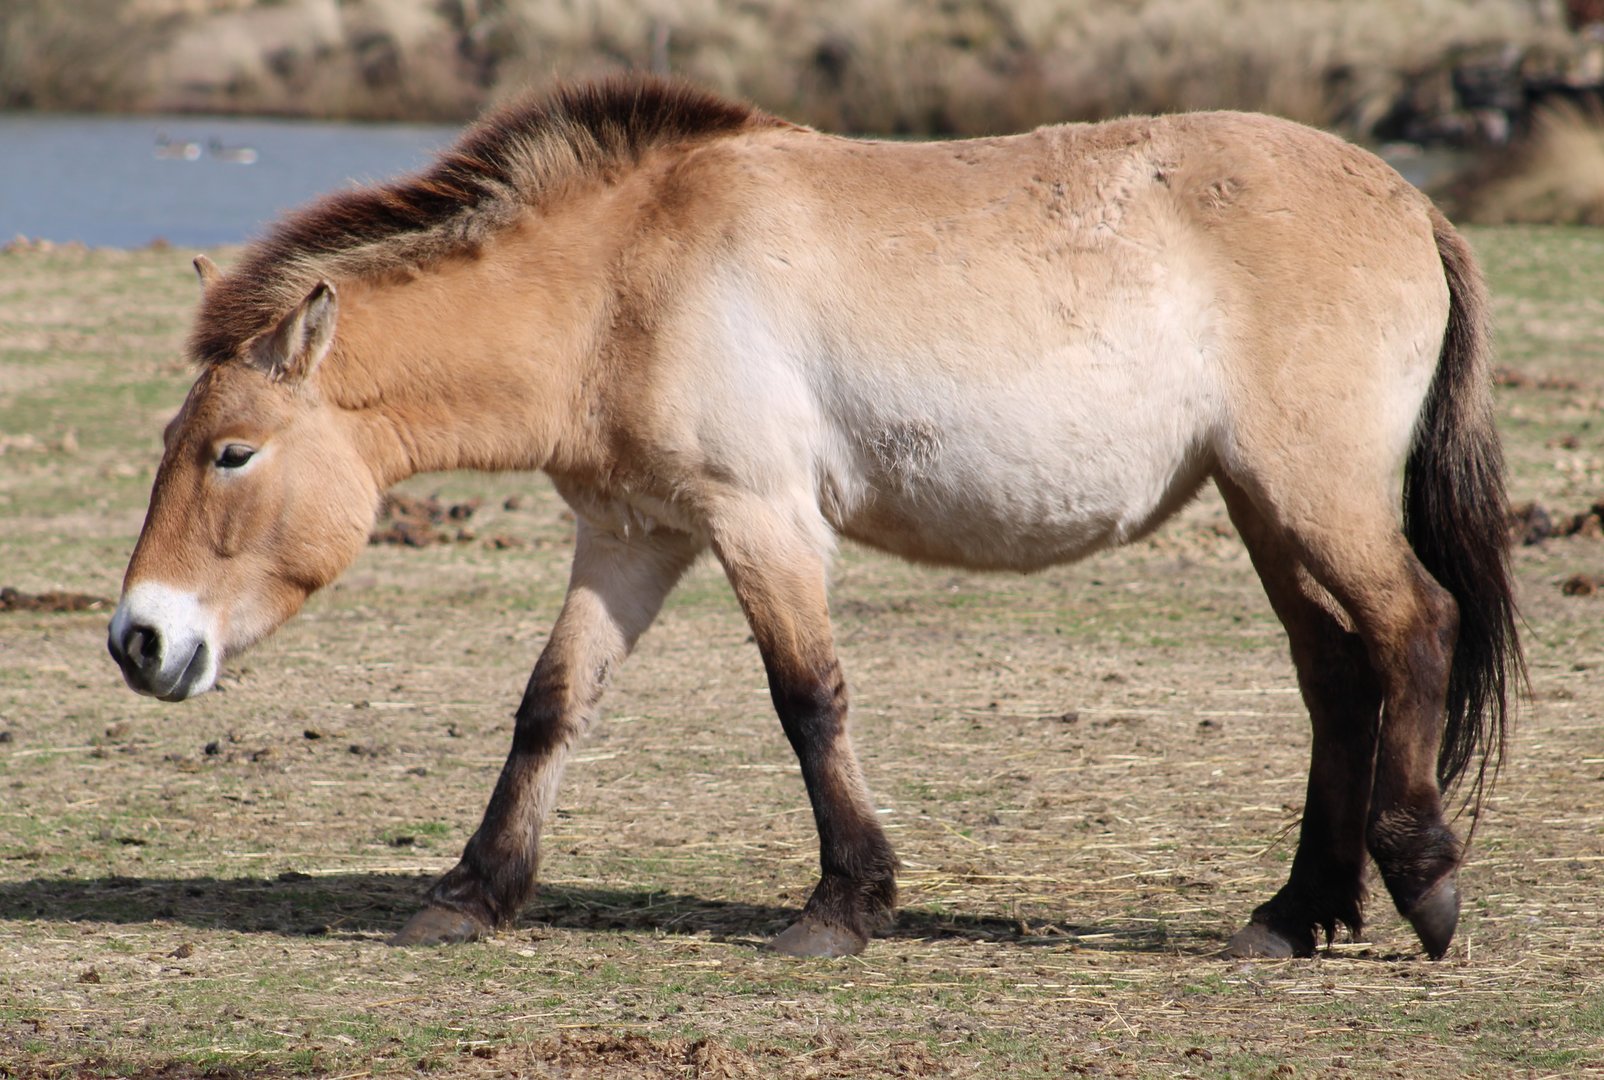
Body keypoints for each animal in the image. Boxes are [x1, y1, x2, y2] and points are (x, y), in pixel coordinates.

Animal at [108, 76, 1522, 961]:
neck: (622, 281)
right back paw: (1292, 913)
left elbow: (807, 700)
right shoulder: (634, 535)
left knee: (1412, 626)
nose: (140, 641)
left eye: (231, 452)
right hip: (1260, 501)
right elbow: (551, 705)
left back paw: (1422, 879)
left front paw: (843, 905)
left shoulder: (759, 519)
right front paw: (472, 894)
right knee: (1336, 673)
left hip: (1307, 492)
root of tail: (1410, 203)